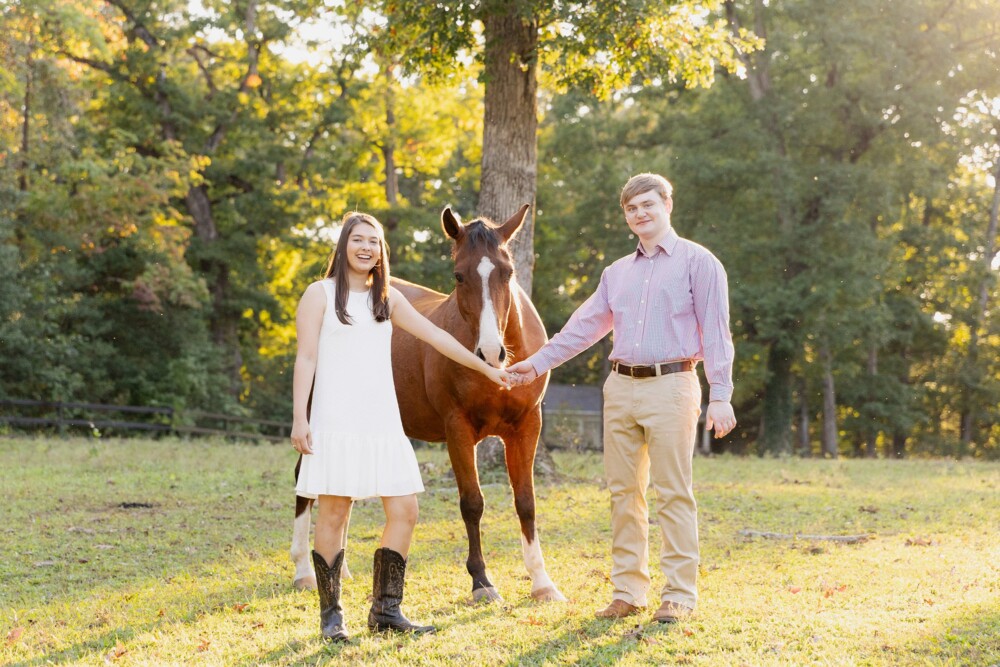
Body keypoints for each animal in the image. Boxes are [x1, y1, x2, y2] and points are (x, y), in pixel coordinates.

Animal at [292, 205, 568, 604]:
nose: (490, 353)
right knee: (305, 485)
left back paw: (339, 569)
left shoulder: (527, 427)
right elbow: (472, 503)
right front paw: (481, 580)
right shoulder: (458, 430)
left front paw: (542, 582)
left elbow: (526, 502)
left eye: (508, 272)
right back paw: (303, 571)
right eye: (459, 275)